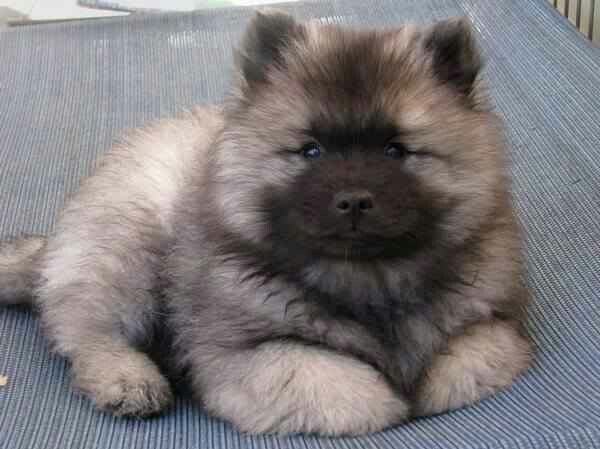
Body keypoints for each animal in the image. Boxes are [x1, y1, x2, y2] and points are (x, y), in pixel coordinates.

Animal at [1, 9, 536, 434]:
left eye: (395, 150)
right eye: (311, 150)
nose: (353, 201)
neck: (367, 278)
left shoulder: (496, 325)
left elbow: (463, 361)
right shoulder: (244, 355)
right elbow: (353, 389)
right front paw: (392, 399)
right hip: (127, 252)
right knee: (88, 334)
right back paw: (129, 380)